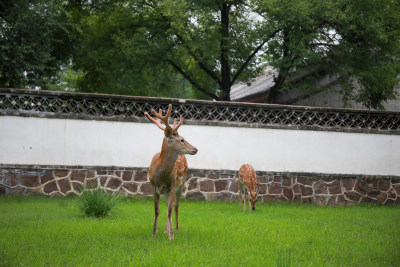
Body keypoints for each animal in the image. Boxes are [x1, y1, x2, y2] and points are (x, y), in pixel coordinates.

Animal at [145, 104, 198, 241]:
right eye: (182, 139)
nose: (196, 149)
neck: (160, 176)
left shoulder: (172, 186)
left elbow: (169, 210)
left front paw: (171, 236)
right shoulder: (153, 186)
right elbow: (157, 210)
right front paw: (154, 233)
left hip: (181, 184)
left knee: (175, 206)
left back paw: (176, 229)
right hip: (165, 192)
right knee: (168, 207)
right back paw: (165, 230)